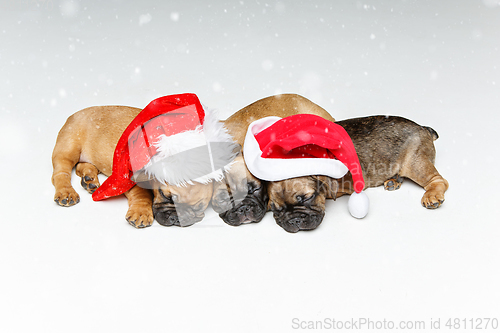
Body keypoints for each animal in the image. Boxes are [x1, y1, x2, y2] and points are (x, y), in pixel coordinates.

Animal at [51, 105, 214, 227]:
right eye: (165, 195)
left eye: (200, 207)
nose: (177, 218)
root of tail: (72, 115)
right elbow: (142, 194)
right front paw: (141, 211)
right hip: (68, 149)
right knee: (60, 173)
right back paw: (66, 192)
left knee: (81, 166)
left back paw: (89, 180)